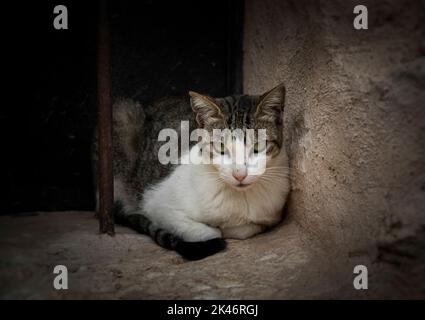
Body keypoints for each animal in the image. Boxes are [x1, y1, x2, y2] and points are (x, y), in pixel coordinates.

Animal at [93, 84, 290, 260]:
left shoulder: (272, 214)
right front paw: (216, 229)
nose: (239, 174)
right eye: (220, 146)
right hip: (120, 111)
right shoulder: (157, 206)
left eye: (258, 146)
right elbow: (210, 232)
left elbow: (247, 228)